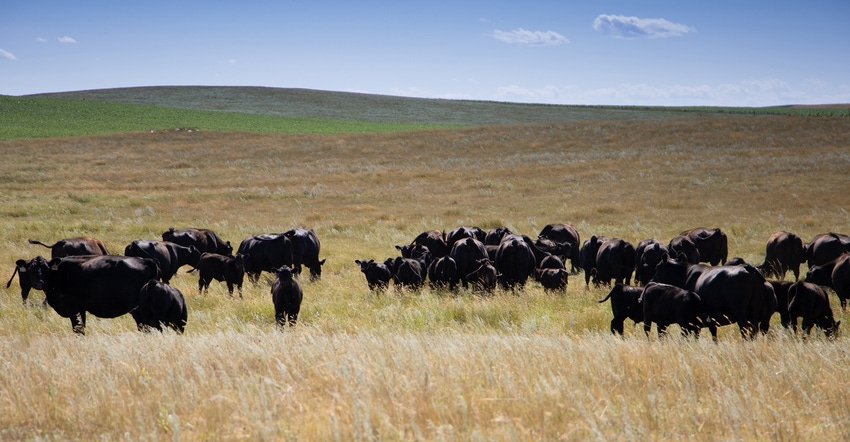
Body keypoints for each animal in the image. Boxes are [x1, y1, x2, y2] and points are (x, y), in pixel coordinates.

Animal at [24, 254, 159, 334]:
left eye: (46, 269)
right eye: (31, 269)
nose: (39, 283)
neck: (58, 274)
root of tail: (145, 260)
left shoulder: (72, 307)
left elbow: (77, 328)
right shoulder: (81, 309)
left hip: (138, 309)